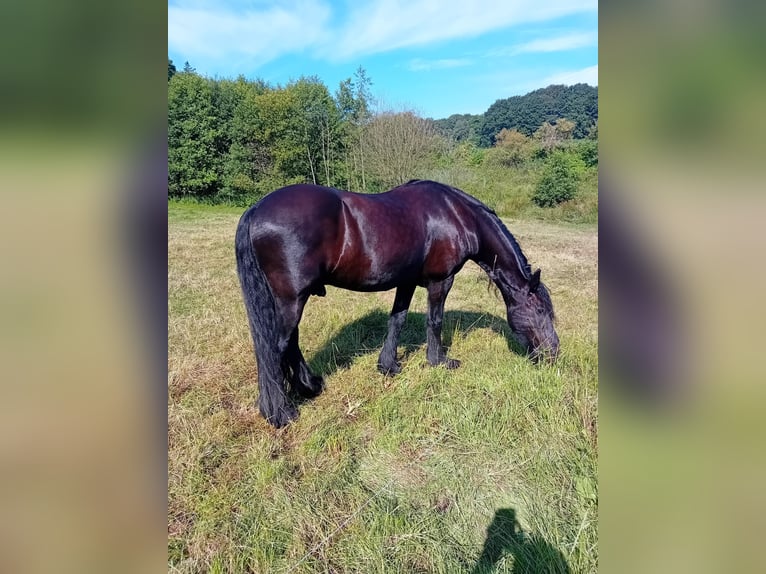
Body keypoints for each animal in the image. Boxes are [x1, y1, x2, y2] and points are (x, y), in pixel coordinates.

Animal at [234, 180, 560, 428]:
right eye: (540, 310)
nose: (554, 353)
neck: (456, 214)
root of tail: (256, 209)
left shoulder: (406, 281)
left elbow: (397, 319)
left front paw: (388, 365)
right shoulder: (441, 281)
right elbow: (434, 320)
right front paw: (439, 361)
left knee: (289, 344)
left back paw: (309, 386)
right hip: (292, 300)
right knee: (275, 348)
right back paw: (281, 413)